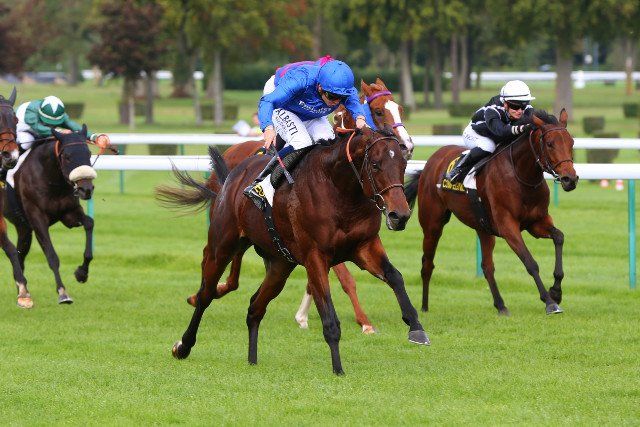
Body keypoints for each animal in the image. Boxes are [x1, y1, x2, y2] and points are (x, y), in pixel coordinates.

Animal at [3, 125, 98, 306]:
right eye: (67, 157)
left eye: (89, 154)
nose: (86, 189)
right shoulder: (37, 218)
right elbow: (52, 255)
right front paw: (62, 292)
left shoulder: (69, 213)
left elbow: (89, 223)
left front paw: (82, 273)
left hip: (23, 227)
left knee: (19, 255)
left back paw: (22, 292)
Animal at [161, 126, 429, 375]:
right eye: (375, 165)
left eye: (403, 164)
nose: (400, 215)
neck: (340, 191)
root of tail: (233, 175)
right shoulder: (315, 257)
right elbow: (329, 316)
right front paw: (338, 369)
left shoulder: (364, 246)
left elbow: (395, 276)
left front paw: (416, 328)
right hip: (222, 246)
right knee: (205, 295)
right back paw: (183, 346)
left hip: (280, 264)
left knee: (255, 307)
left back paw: (252, 359)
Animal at [200, 78, 412, 334]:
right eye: (379, 111)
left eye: (399, 109)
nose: (407, 145)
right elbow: (345, 279)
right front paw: (365, 322)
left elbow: (316, 281)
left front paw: (302, 316)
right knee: (218, 256)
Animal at [404, 109, 578, 316]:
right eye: (550, 144)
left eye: (571, 142)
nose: (570, 179)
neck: (521, 176)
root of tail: (430, 162)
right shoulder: (508, 226)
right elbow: (530, 262)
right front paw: (550, 302)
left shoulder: (537, 222)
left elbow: (559, 237)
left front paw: (556, 292)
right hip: (433, 224)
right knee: (427, 263)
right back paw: (424, 307)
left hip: (483, 227)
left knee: (487, 266)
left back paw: (501, 305)